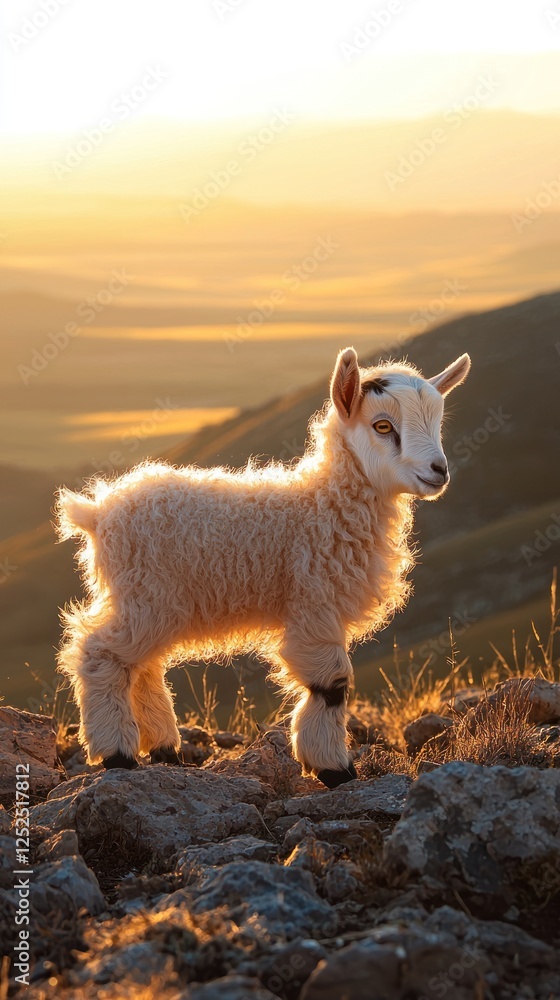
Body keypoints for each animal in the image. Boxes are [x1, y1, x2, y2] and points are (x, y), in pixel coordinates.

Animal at [55, 347, 470, 786]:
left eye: (437, 423)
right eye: (383, 425)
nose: (439, 471)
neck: (322, 505)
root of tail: (98, 514)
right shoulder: (312, 602)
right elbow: (331, 684)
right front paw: (335, 769)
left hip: (150, 601)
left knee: (143, 665)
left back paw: (165, 748)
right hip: (145, 594)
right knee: (100, 653)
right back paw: (117, 753)